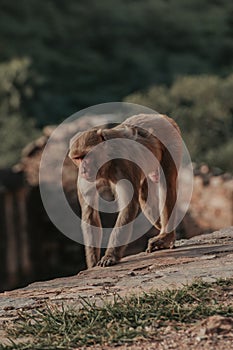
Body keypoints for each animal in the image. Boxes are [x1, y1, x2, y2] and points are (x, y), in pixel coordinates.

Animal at [68, 113, 181, 266]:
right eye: (77, 158)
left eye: (86, 156)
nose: (83, 170)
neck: (106, 163)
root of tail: (160, 116)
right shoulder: (85, 180)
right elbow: (89, 214)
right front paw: (92, 264)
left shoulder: (124, 164)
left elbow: (128, 206)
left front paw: (110, 256)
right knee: (144, 196)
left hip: (171, 141)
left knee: (167, 185)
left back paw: (166, 236)